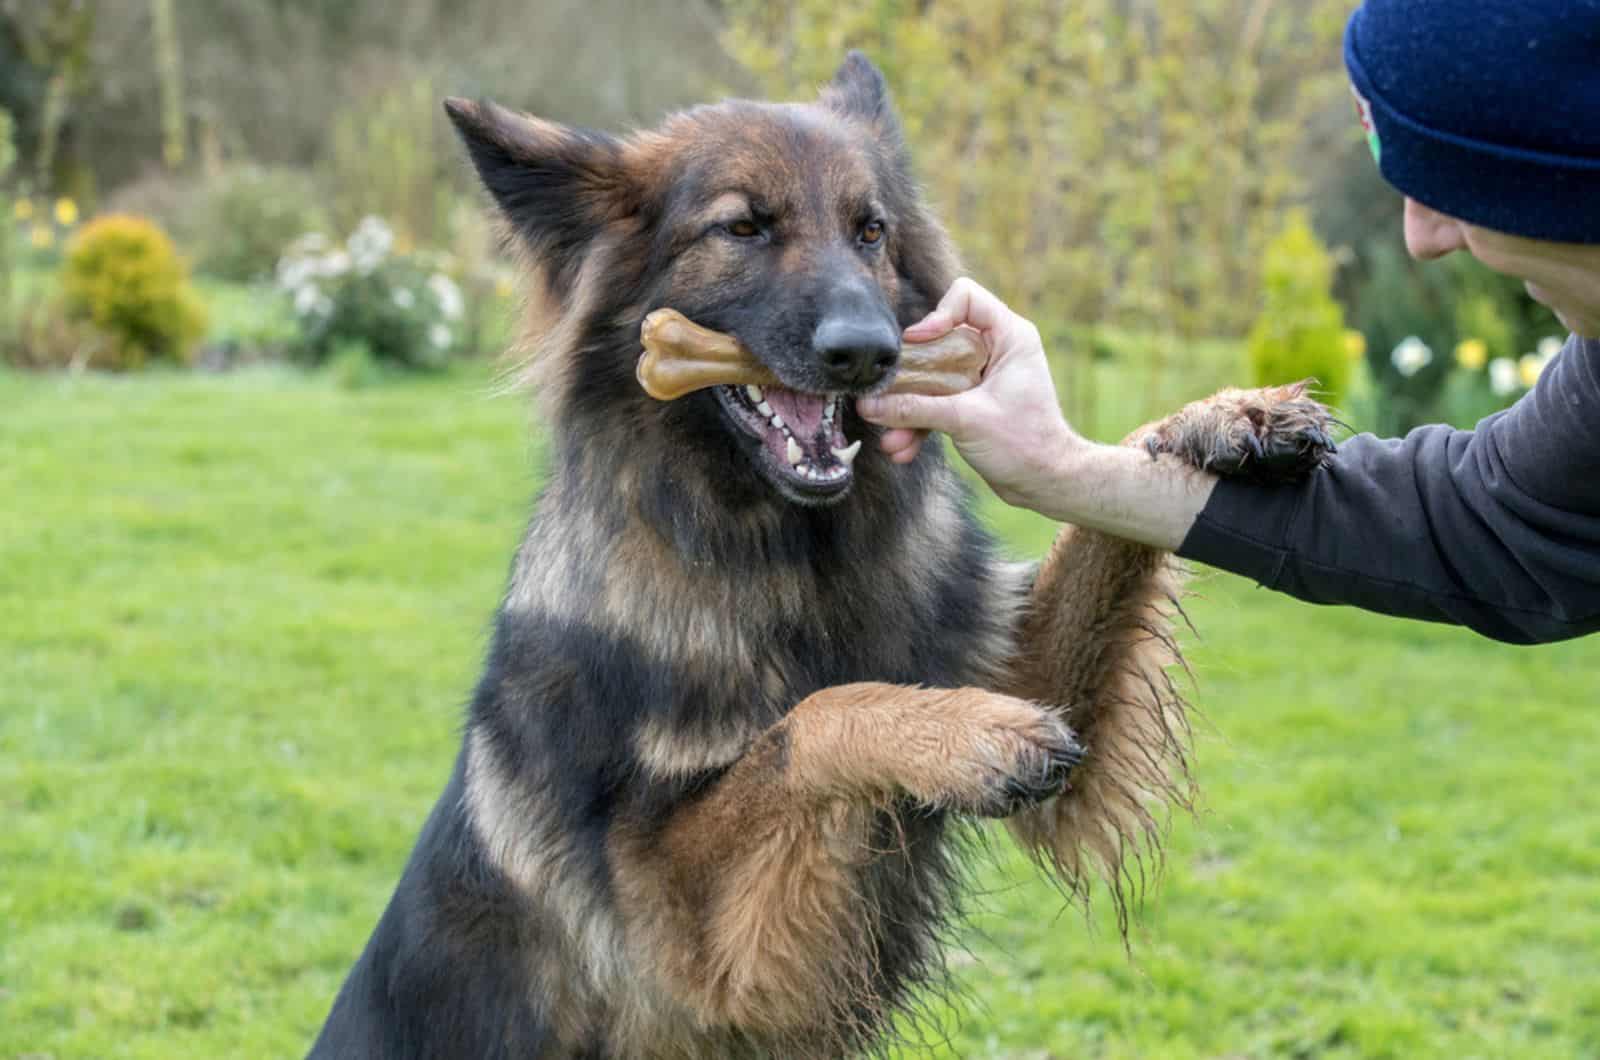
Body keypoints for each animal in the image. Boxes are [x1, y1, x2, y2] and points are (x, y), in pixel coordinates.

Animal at [305, 52, 1331, 1060]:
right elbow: (810, 718)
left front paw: (1221, 415)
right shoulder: (681, 936)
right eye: (743, 227)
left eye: (870, 231)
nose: (867, 353)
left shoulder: (1021, 669)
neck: (791, 563)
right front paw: (966, 735)